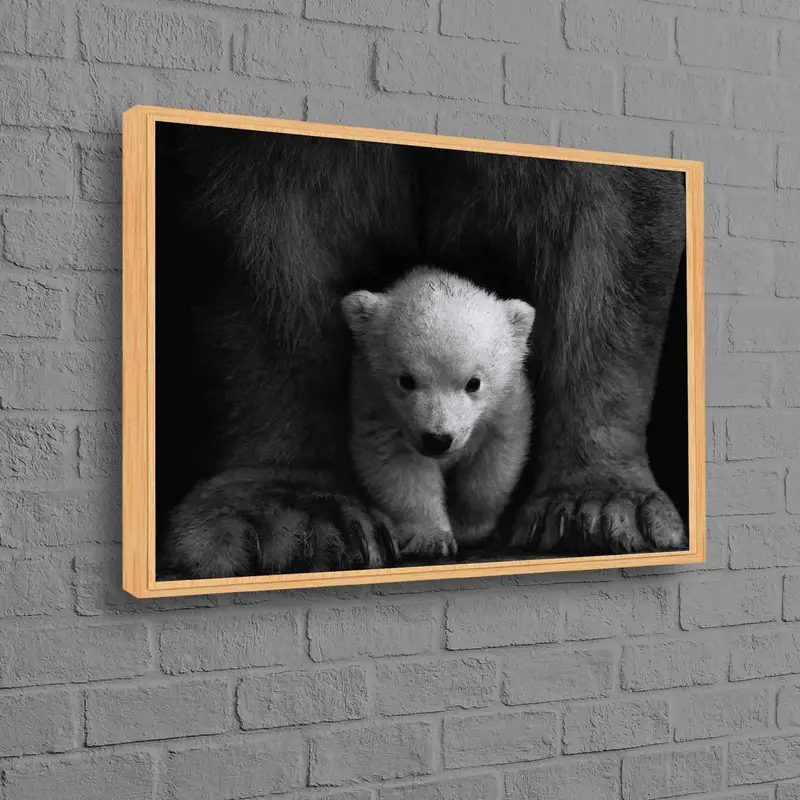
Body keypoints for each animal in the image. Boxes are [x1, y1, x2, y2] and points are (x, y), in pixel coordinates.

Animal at [341, 267, 535, 560]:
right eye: (406, 380)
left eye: (474, 383)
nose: (437, 439)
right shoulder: (379, 408)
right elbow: (399, 467)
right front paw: (431, 539)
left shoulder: (506, 407)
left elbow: (492, 465)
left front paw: (469, 527)